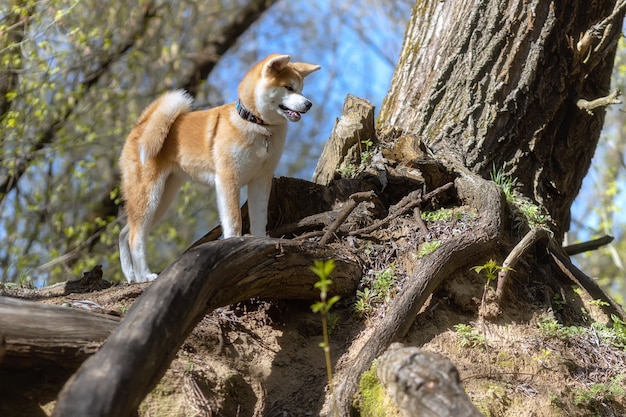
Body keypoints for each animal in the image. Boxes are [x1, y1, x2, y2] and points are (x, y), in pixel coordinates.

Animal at [119, 53, 320, 282]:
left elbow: (260, 219)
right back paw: (145, 275)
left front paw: (260, 242)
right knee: (135, 237)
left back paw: (132, 275)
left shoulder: (261, 179)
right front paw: (233, 246)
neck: (257, 126)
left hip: (163, 199)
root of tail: (141, 125)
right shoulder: (228, 178)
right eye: (288, 87)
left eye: (301, 89)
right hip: (150, 194)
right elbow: (233, 221)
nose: (309, 104)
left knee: (125, 232)